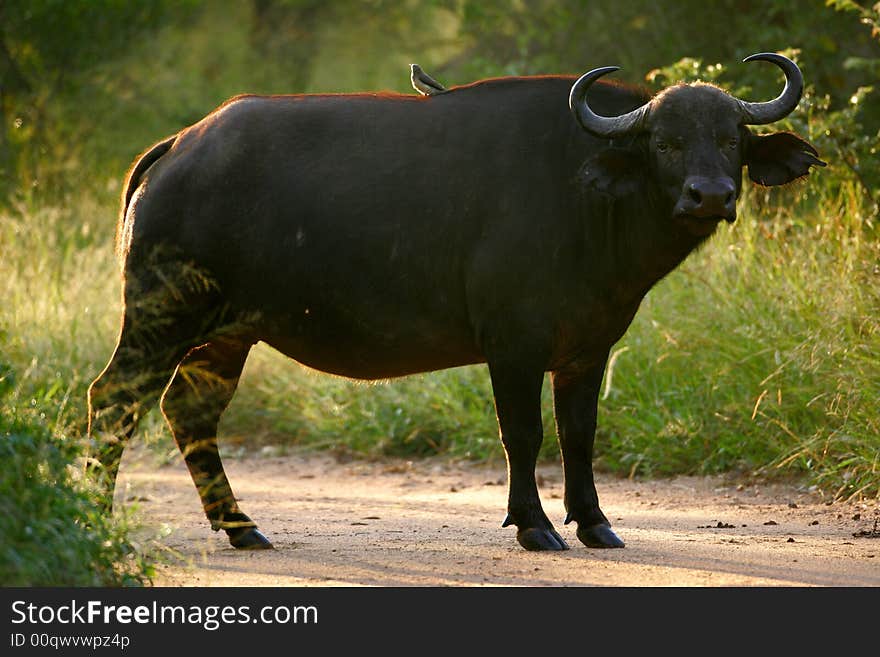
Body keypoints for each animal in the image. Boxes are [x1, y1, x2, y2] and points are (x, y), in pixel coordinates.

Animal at [89, 53, 824, 552]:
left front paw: (595, 522)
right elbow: (522, 434)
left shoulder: (588, 350)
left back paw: (241, 526)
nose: (709, 195)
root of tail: (181, 146)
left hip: (226, 333)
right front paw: (534, 525)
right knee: (113, 399)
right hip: (160, 317)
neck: (585, 197)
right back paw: (96, 514)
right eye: (666, 141)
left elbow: (580, 434)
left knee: (189, 410)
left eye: (729, 138)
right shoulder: (513, 347)